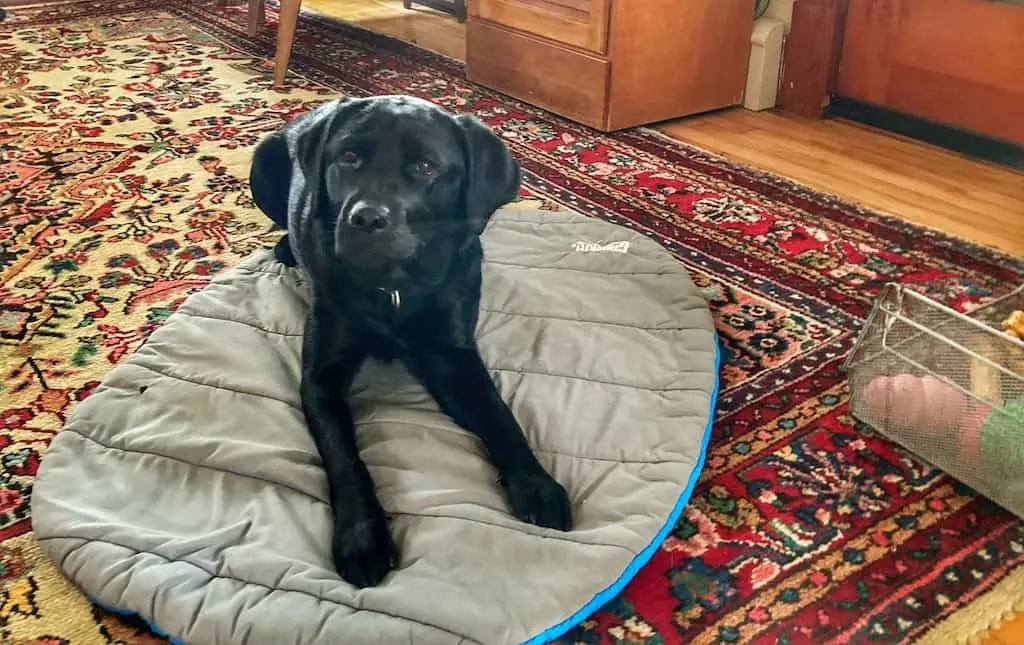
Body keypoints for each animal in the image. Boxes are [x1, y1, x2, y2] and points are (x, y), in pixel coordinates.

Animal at [244, 97, 573, 589]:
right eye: (349, 158)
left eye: (425, 167)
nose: (365, 218)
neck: (394, 290)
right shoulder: (321, 377)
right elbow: (345, 456)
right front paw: (362, 537)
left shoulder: (454, 356)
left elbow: (501, 417)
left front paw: (536, 484)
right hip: (262, 163)